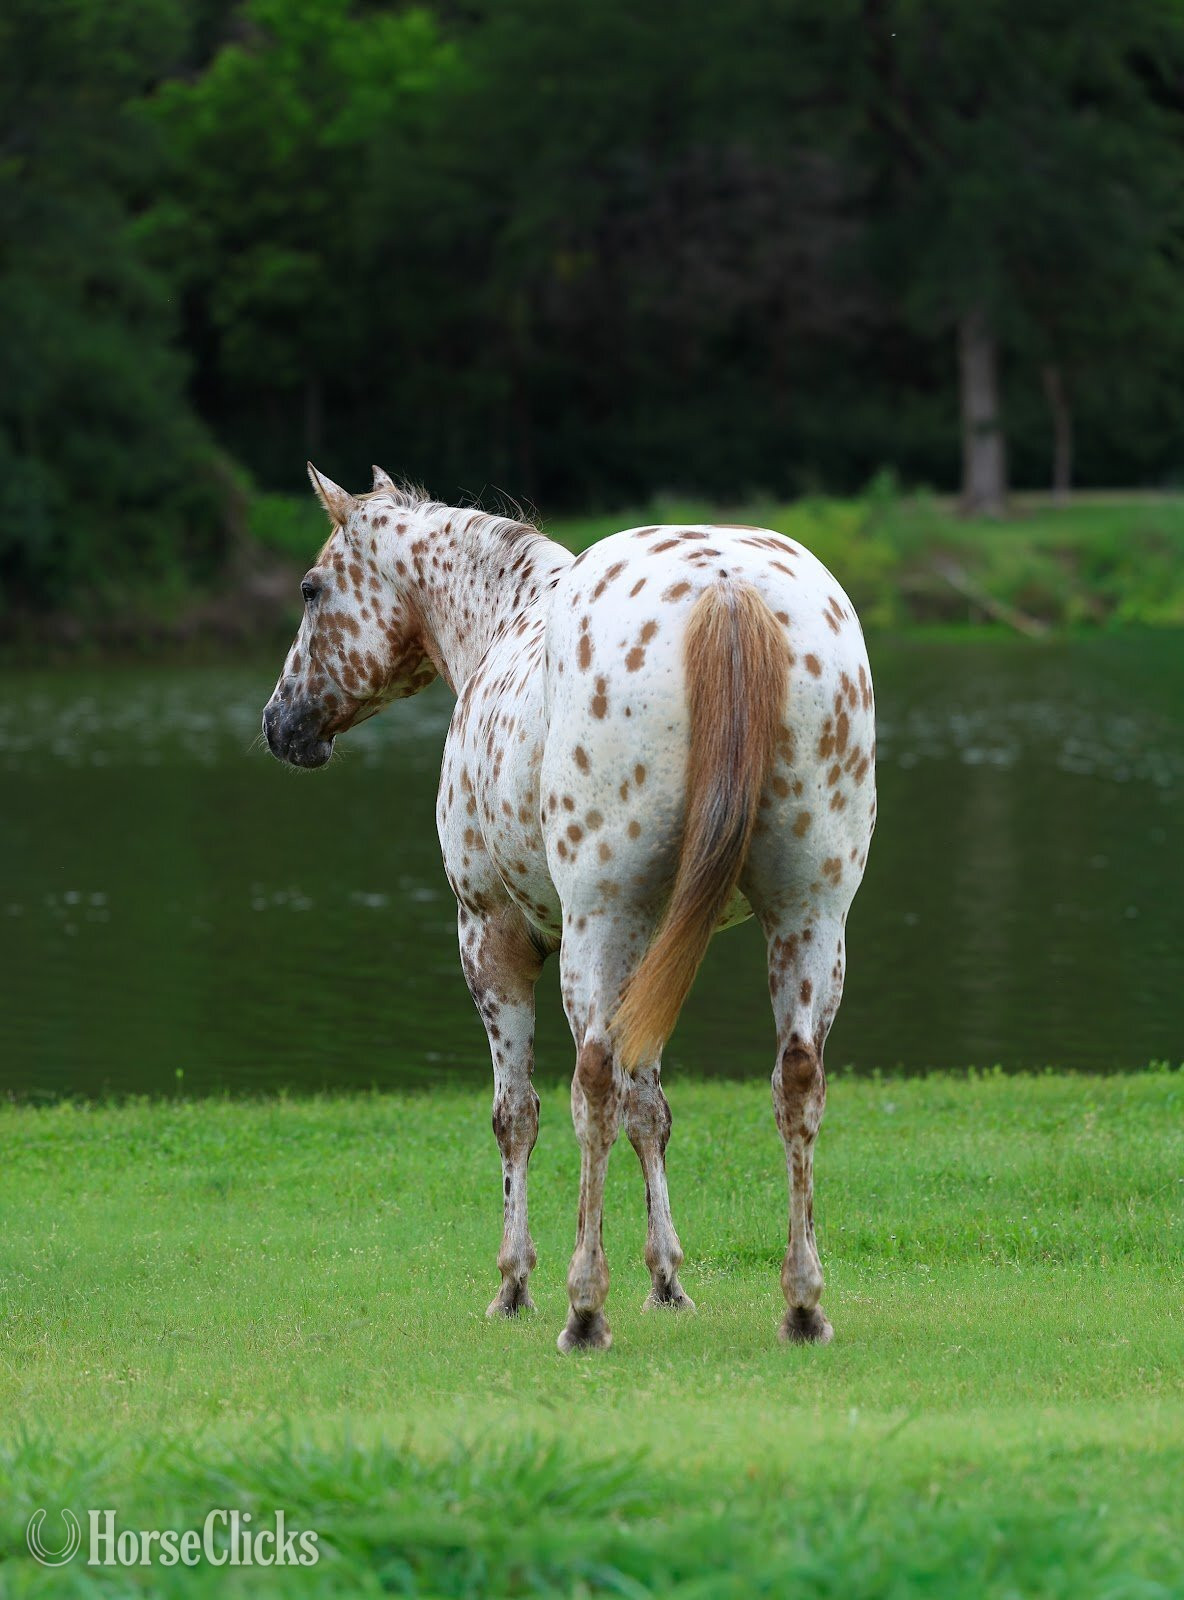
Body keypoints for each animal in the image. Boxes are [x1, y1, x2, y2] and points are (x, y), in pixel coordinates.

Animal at [263, 464, 876, 1351]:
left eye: (312, 589)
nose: (281, 723)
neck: (506, 621)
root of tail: (726, 590)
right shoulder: (659, 942)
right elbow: (652, 1108)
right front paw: (667, 1280)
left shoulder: (491, 934)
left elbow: (518, 1113)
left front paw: (515, 1283)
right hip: (809, 918)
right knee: (795, 1081)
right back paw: (802, 1304)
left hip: (599, 923)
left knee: (592, 1085)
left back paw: (584, 1308)